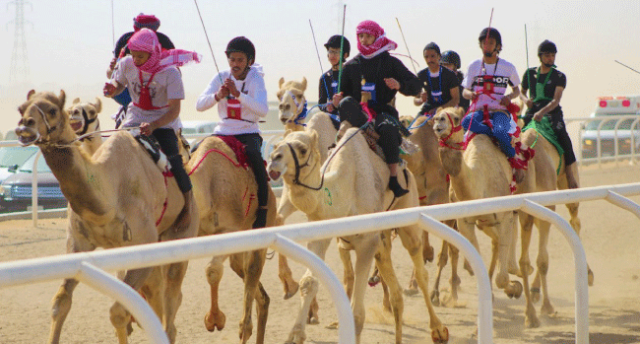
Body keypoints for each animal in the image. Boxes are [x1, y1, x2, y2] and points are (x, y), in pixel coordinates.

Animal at [15, 90, 200, 342]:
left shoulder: (144, 241)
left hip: (182, 235)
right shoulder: (78, 245)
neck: (108, 199)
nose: (24, 127)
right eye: (21, 108)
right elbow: (60, 303)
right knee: (156, 294)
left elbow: (118, 313)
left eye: (52, 110)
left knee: (170, 304)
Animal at [268, 128, 448, 344]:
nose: (273, 159)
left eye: (302, 149)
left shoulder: (367, 243)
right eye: (277, 145)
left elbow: (357, 315)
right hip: (382, 240)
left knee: (420, 268)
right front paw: (295, 335)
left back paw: (438, 329)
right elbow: (309, 282)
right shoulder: (322, 234)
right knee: (395, 290)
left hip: (409, 211)